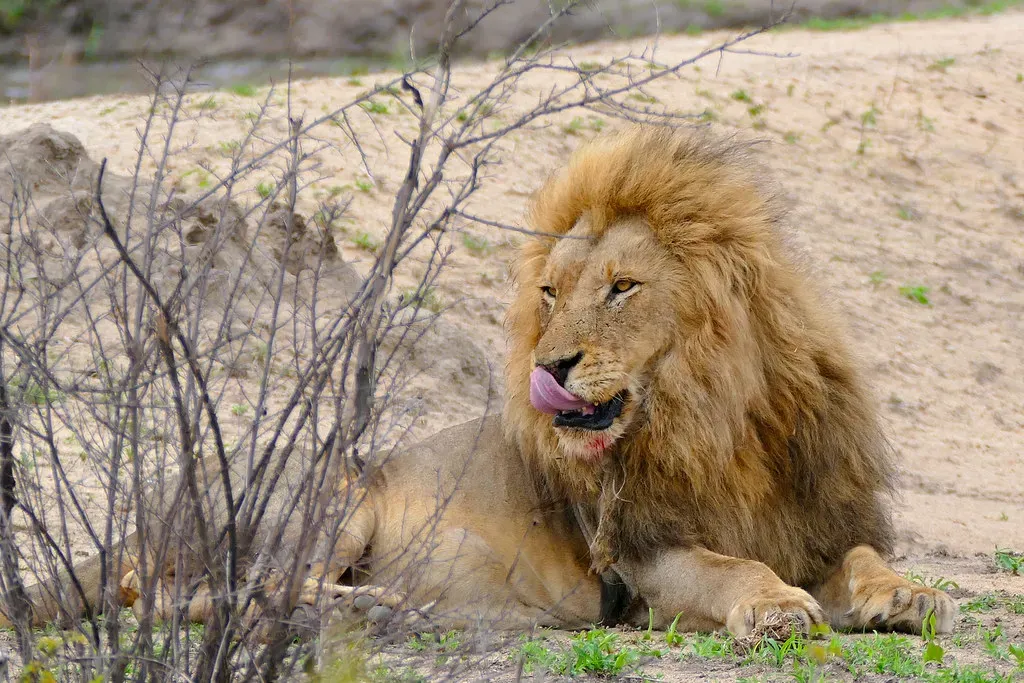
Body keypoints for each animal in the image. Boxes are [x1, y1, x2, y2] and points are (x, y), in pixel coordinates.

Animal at [1, 126, 954, 640]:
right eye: (550, 293)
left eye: (621, 287)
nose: (548, 366)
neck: (713, 421)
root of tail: (147, 514)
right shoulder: (645, 563)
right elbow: (732, 566)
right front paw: (777, 606)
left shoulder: (821, 515)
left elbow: (862, 556)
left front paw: (906, 593)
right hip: (331, 490)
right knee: (209, 594)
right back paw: (382, 609)